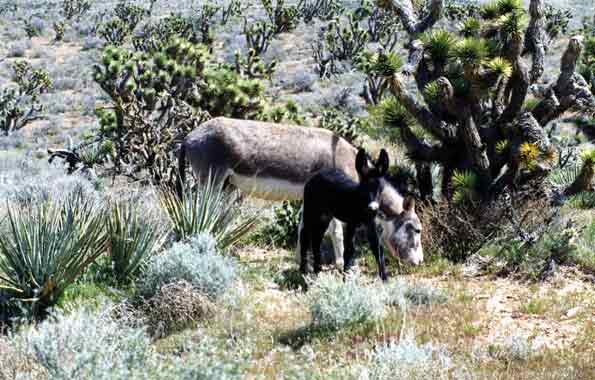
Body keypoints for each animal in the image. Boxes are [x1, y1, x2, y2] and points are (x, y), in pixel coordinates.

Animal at [298, 150, 392, 280]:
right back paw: (304, 271)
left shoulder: (370, 223)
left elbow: (377, 248)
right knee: (305, 235)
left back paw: (318, 270)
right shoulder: (351, 222)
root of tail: (317, 174)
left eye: (380, 189)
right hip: (311, 210)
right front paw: (345, 278)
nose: (373, 208)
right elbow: (349, 249)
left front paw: (385, 279)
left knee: (316, 238)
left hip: (325, 216)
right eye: (364, 188)